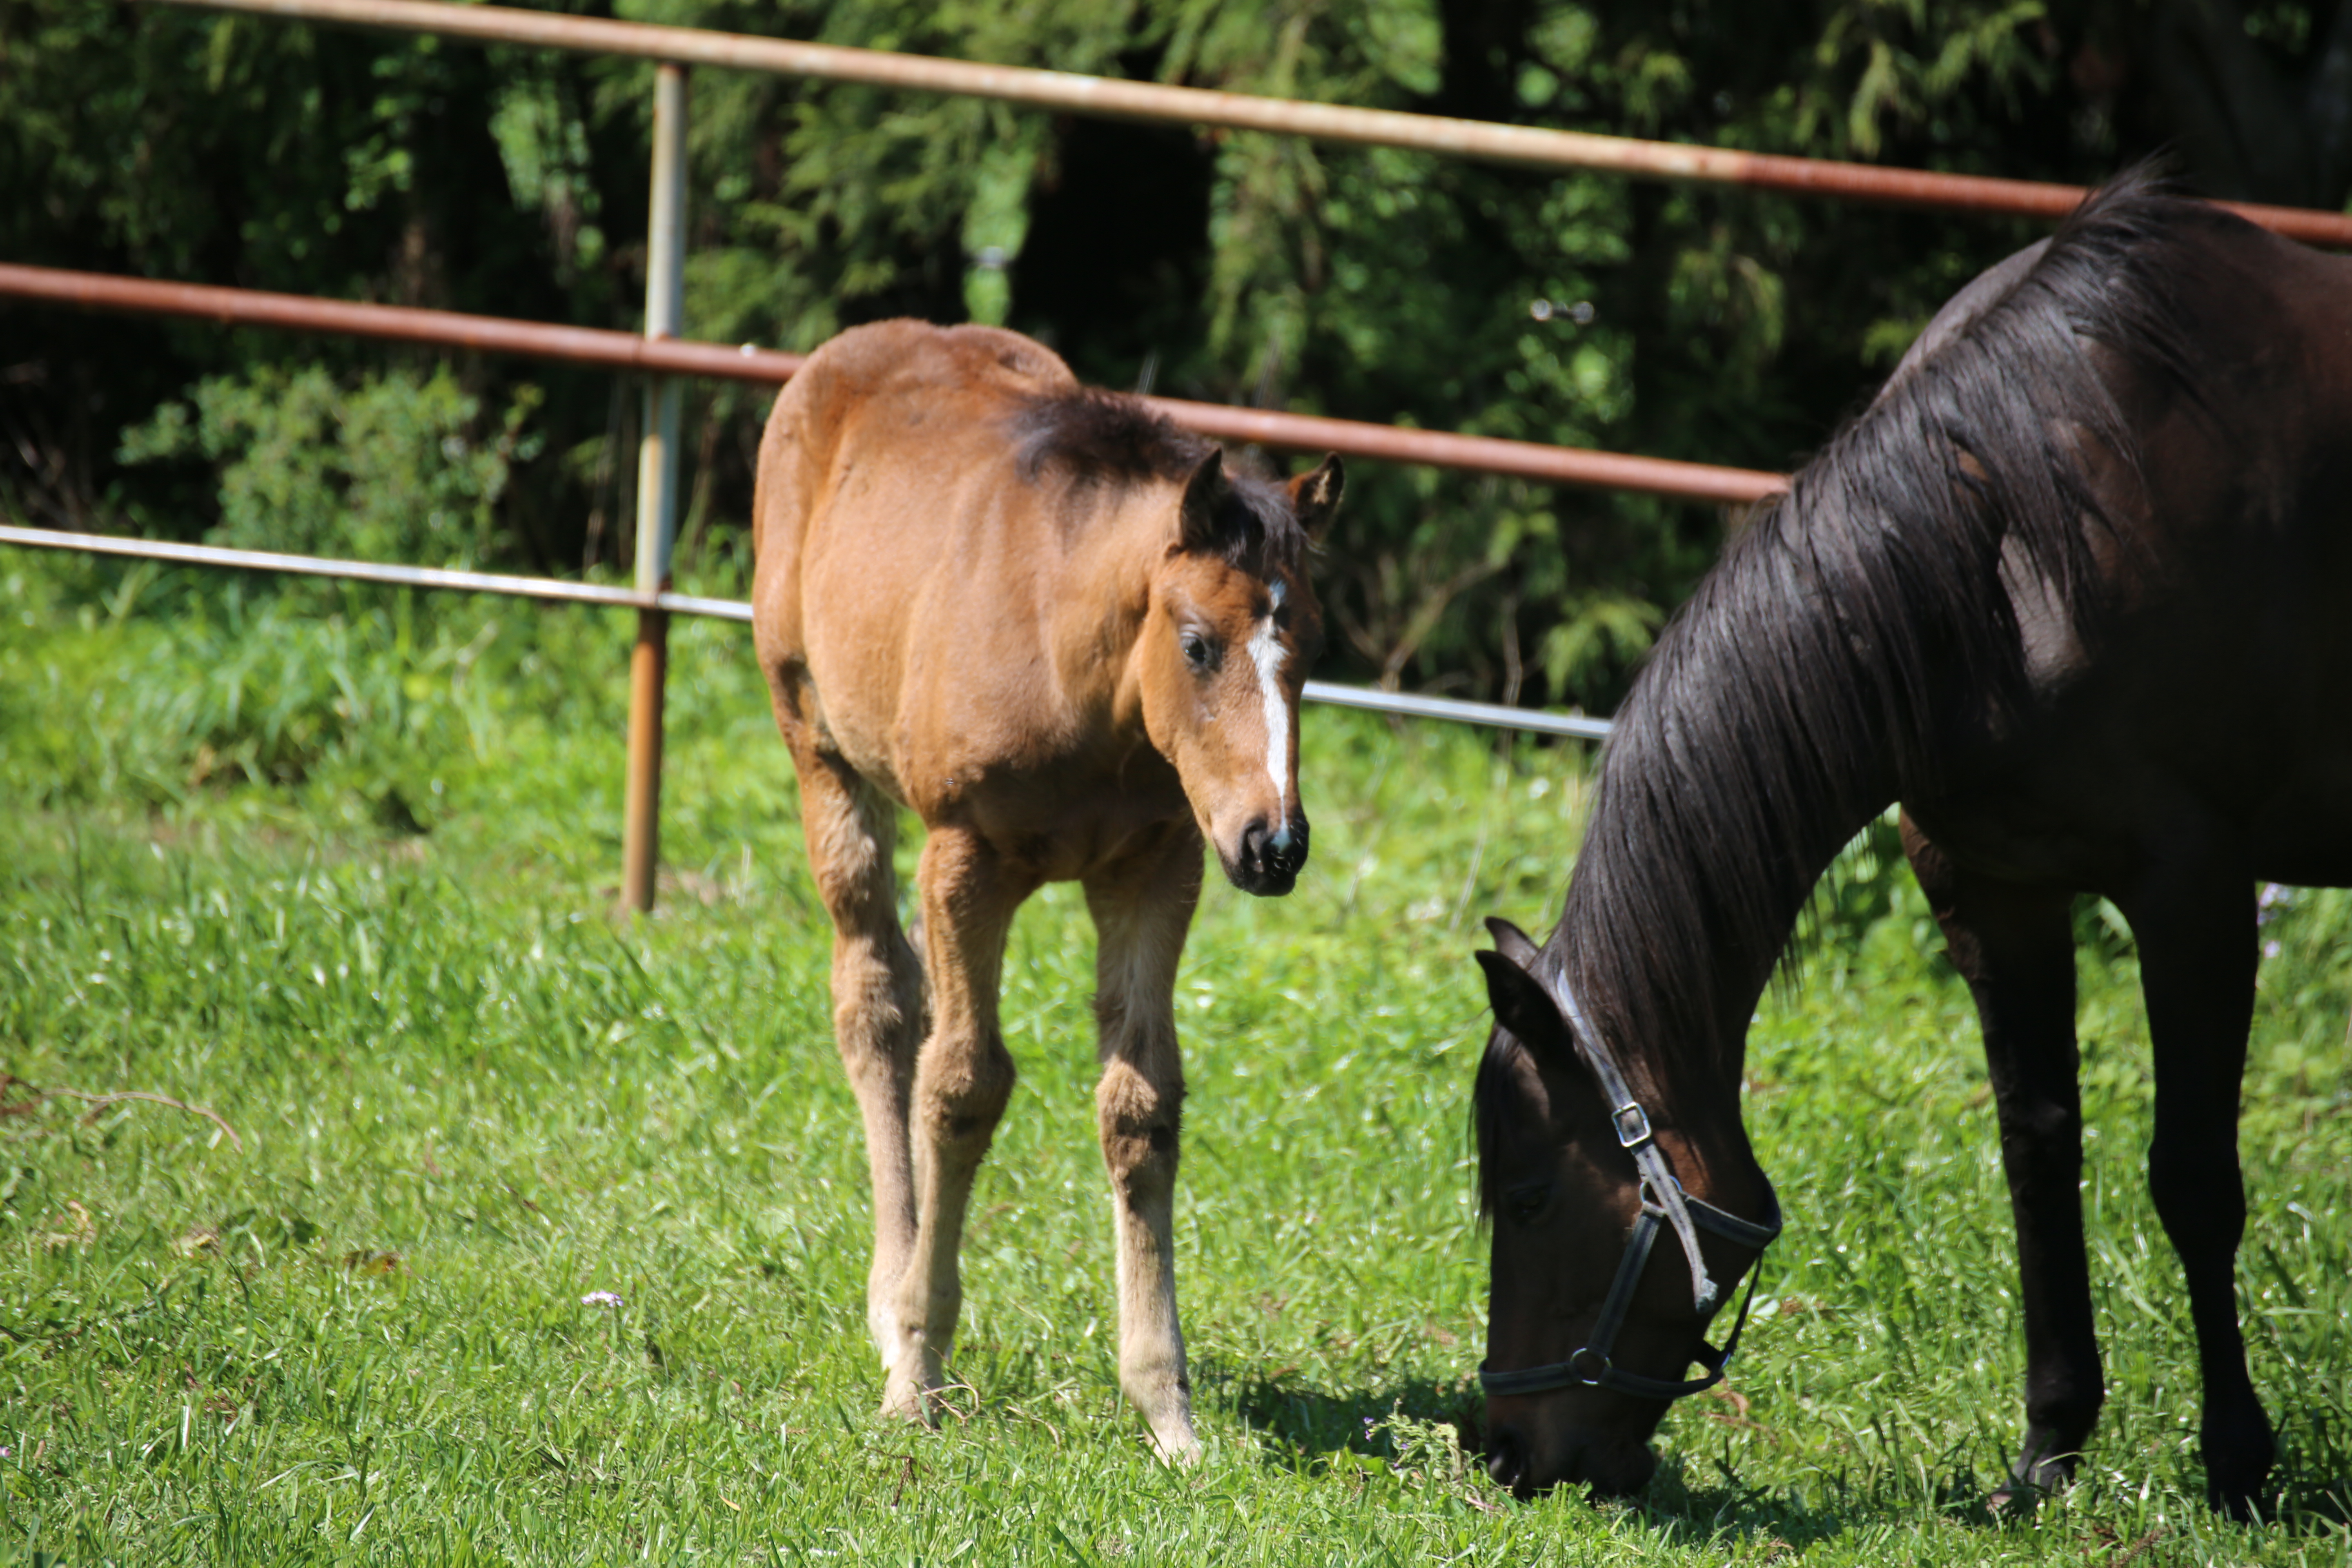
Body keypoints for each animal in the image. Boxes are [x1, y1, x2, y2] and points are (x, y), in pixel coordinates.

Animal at [753, 315, 1345, 1457]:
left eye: (1310, 653)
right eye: (1198, 644)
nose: (1273, 844)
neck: (1080, 669)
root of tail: (854, 348)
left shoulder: (1157, 867)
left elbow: (1139, 1105)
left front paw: (1168, 1411)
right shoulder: (967, 859)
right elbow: (962, 1084)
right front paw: (918, 1372)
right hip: (820, 754)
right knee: (876, 1001)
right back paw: (887, 1301)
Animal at [1468, 175, 2352, 1523]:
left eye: (1526, 1195)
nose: (1507, 1448)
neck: (2014, 537)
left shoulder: (2195, 892)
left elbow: (2195, 1178)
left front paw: (2239, 1461)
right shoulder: (1991, 890)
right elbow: (2038, 1152)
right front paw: (2047, 1452)